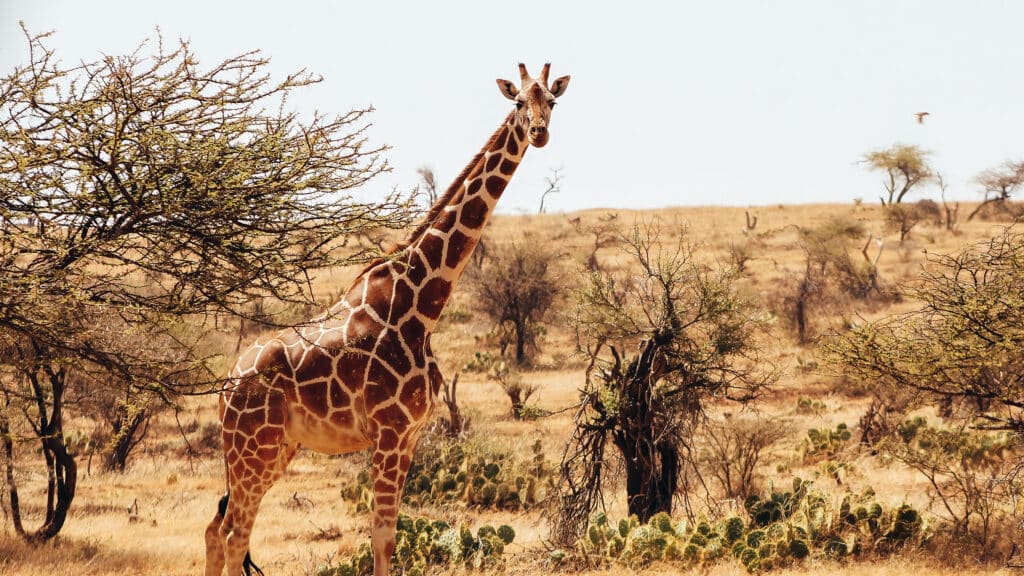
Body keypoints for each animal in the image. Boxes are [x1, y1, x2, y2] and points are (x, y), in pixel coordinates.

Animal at [204, 63, 570, 576]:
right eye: (518, 101)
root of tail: (226, 386)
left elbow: (388, 535)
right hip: (253, 447)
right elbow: (381, 538)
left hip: (270, 450)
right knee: (234, 535)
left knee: (215, 530)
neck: (422, 305)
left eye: (551, 102)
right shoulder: (390, 432)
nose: (539, 133)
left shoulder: (411, 436)